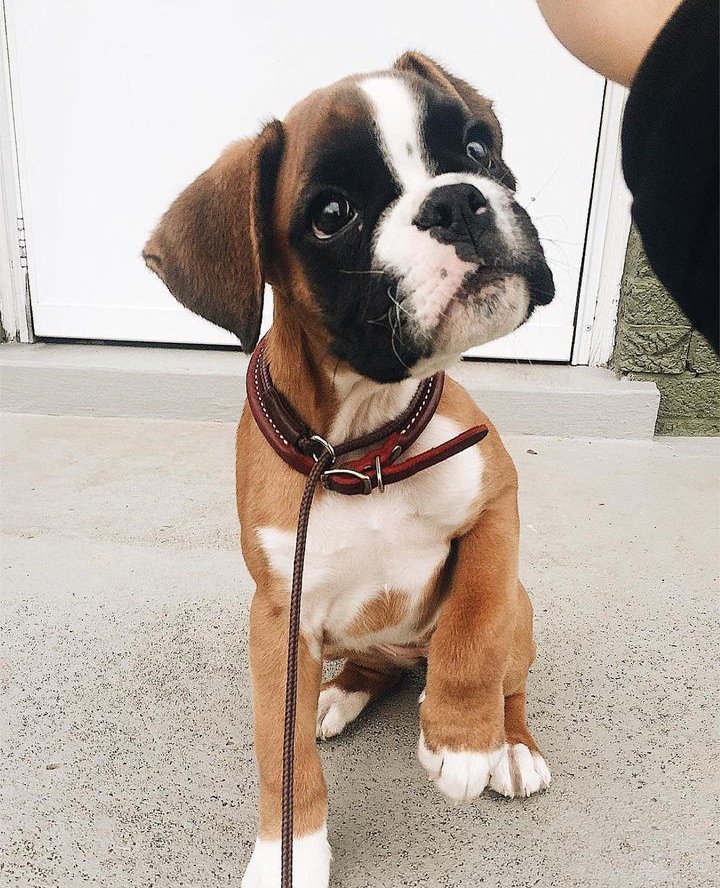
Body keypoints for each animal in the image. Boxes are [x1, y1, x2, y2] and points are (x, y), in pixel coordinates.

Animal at [143, 50, 556, 888]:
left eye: (474, 147)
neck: (365, 444)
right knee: (370, 668)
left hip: (523, 616)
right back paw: (341, 696)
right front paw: (290, 853)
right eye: (331, 214)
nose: (458, 201)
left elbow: (475, 624)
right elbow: (282, 751)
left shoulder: (496, 503)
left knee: (509, 674)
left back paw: (510, 746)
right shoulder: (279, 617)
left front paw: (463, 740)